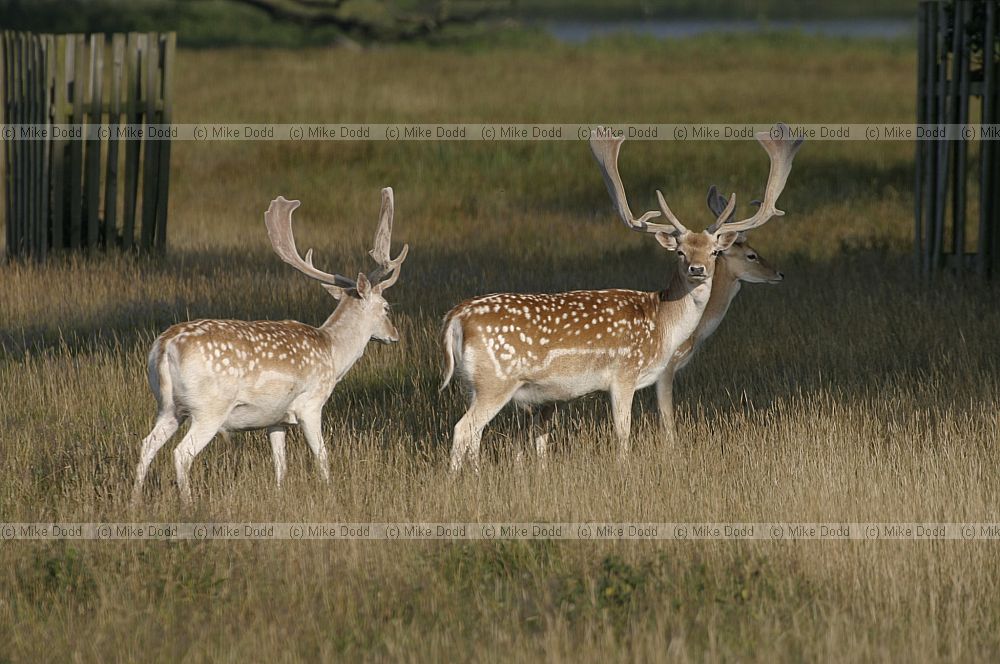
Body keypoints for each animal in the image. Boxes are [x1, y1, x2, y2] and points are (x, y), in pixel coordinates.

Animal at [132, 188, 409, 504]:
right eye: (387, 307)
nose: (394, 335)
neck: (333, 353)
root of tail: (165, 346)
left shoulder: (276, 419)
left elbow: (280, 463)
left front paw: (279, 494)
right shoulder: (311, 404)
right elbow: (322, 457)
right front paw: (330, 492)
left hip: (167, 406)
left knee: (147, 444)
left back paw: (134, 502)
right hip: (209, 408)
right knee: (182, 453)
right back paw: (189, 505)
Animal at [439, 125, 802, 472]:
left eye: (714, 251)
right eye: (680, 252)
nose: (697, 269)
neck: (663, 324)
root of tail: (455, 318)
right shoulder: (625, 372)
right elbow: (627, 433)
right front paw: (625, 469)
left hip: (473, 383)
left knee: (475, 433)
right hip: (496, 380)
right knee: (464, 429)